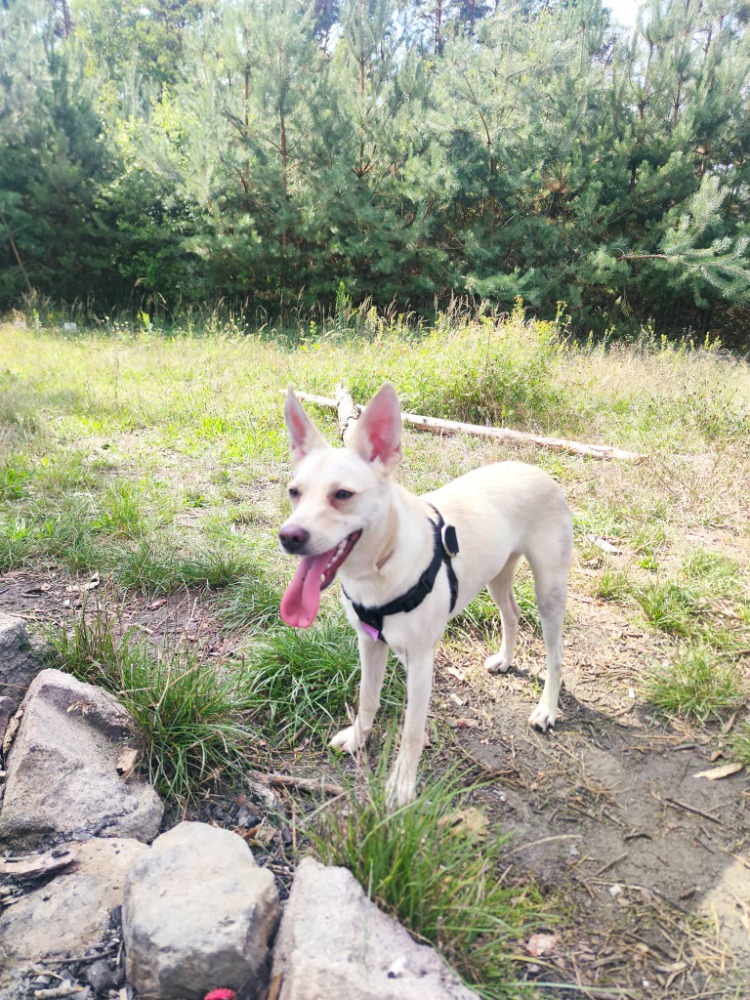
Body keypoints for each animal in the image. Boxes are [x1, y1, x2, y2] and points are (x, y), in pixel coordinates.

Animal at [278, 382, 573, 807]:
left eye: (343, 495)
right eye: (294, 492)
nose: (289, 536)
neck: (382, 562)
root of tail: (537, 471)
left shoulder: (420, 662)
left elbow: (412, 732)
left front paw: (402, 785)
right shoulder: (370, 644)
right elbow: (367, 699)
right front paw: (357, 738)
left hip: (549, 589)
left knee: (555, 656)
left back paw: (546, 709)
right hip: (497, 576)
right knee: (512, 614)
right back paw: (504, 659)